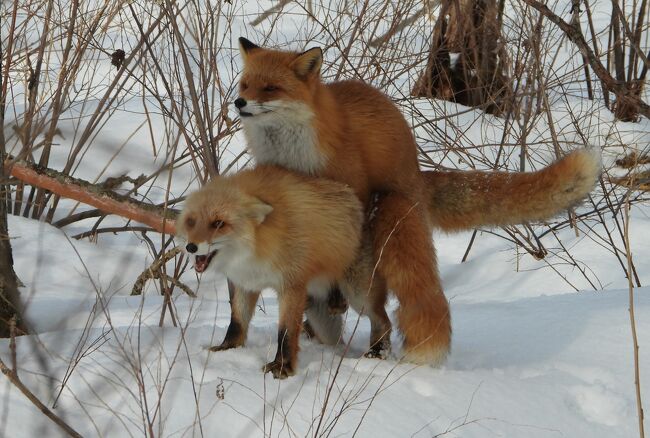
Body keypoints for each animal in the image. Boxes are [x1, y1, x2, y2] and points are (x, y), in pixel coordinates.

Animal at [220, 37, 600, 364]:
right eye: (245, 85)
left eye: (270, 88)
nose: (239, 103)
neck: (291, 149)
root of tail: (418, 175)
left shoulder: (351, 186)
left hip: (391, 214)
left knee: (388, 309)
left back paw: (374, 348)